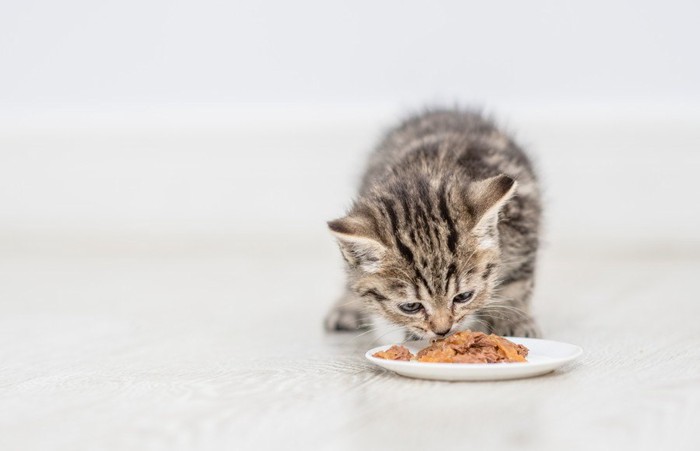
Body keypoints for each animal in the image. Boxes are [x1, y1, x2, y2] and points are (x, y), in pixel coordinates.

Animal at [324, 111, 540, 340]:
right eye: (410, 307)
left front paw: (512, 320)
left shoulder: (523, 227)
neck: (430, 168)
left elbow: (515, 283)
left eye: (464, 296)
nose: (443, 331)